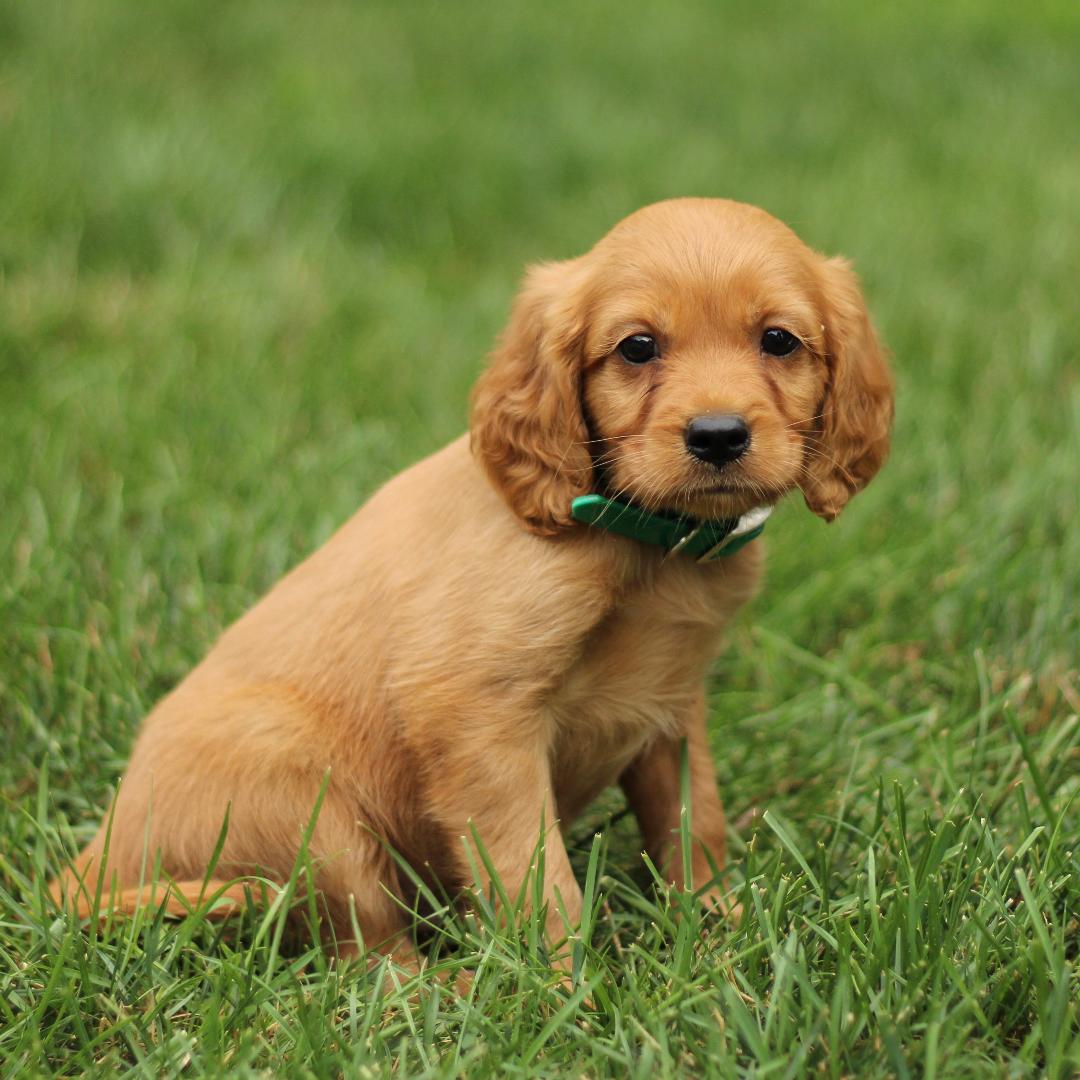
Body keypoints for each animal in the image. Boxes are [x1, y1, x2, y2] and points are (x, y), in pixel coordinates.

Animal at [50, 198, 894, 976]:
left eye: (778, 340)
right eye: (638, 347)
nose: (718, 436)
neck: (641, 541)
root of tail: (91, 864)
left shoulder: (671, 705)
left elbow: (695, 821)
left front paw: (720, 928)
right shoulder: (475, 716)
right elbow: (536, 873)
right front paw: (566, 990)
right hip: (302, 803)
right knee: (370, 962)